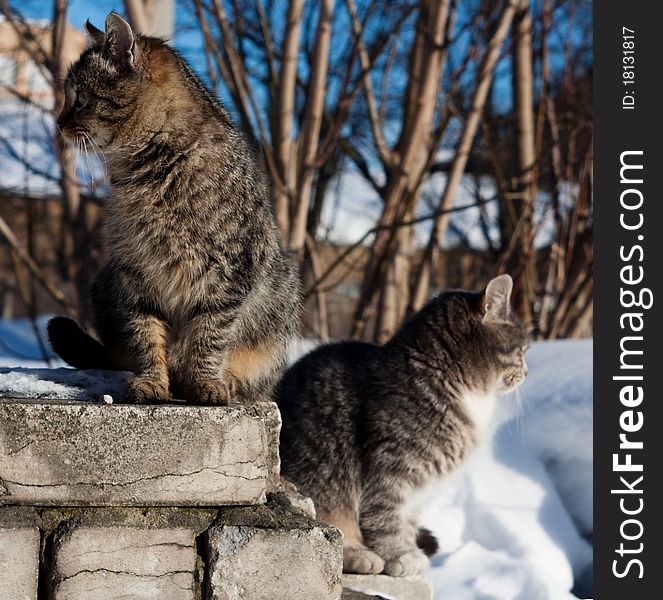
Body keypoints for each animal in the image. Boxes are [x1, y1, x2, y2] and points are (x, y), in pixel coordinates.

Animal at [49, 14, 300, 406]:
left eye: (82, 99)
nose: (59, 123)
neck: (149, 171)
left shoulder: (226, 277)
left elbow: (210, 337)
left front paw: (207, 383)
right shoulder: (135, 272)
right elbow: (146, 335)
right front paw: (152, 380)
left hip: (283, 293)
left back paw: (227, 381)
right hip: (105, 280)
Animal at [274, 276, 528, 576]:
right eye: (522, 350)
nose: (526, 372)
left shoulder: (420, 486)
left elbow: (408, 519)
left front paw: (409, 550)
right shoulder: (390, 470)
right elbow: (385, 517)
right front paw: (399, 554)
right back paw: (358, 554)